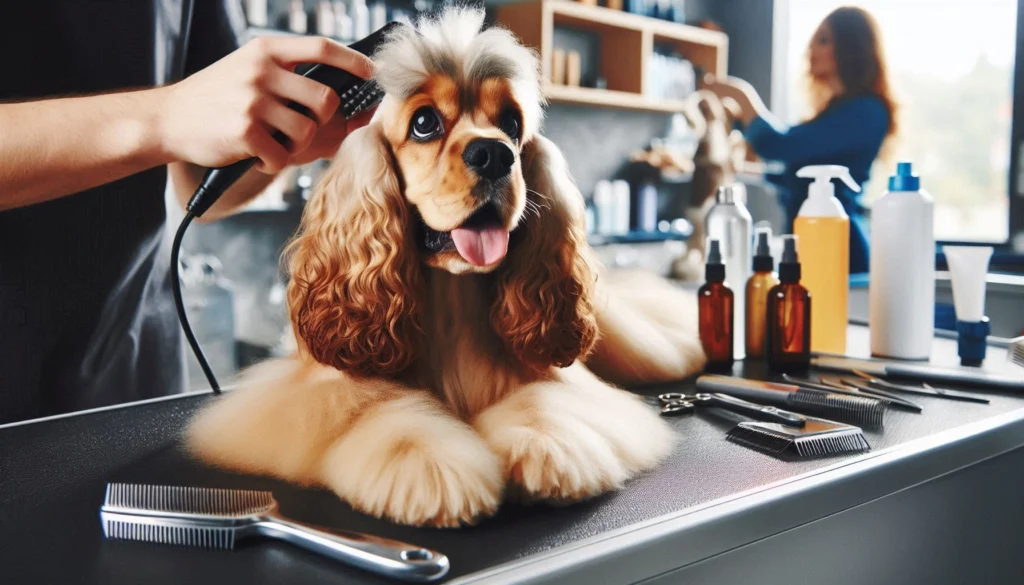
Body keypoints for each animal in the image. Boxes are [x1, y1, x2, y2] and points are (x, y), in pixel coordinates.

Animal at [186, 8, 704, 532]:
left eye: (511, 122)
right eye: (424, 123)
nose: (495, 154)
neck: (453, 307)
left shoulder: (561, 381)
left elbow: (542, 402)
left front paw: (547, 450)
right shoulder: (315, 395)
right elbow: (381, 410)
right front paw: (429, 467)